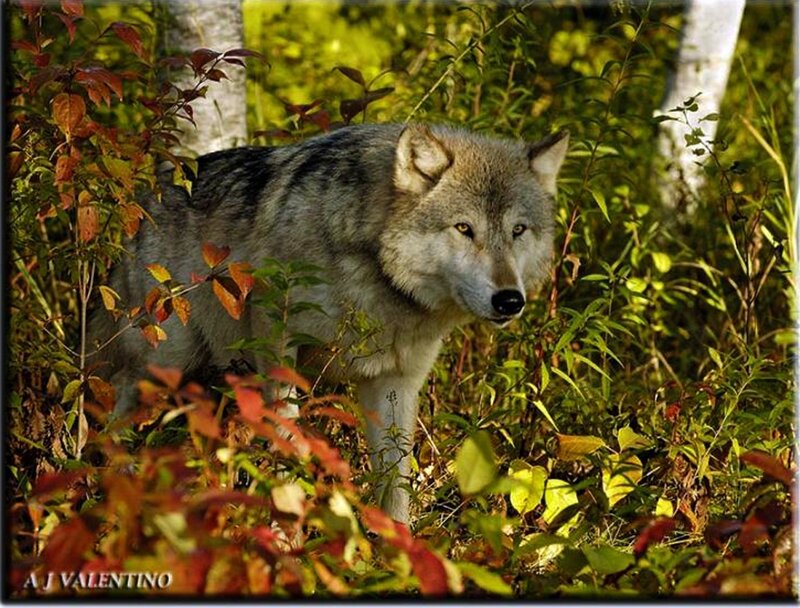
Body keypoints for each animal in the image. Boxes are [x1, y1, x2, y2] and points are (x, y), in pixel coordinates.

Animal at [89, 123, 568, 524]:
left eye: (518, 230)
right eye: (464, 228)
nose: (509, 300)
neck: (376, 272)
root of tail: (143, 199)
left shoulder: (396, 384)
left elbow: (395, 483)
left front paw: (397, 553)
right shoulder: (276, 339)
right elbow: (287, 434)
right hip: (165, 359)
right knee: (112, 404)